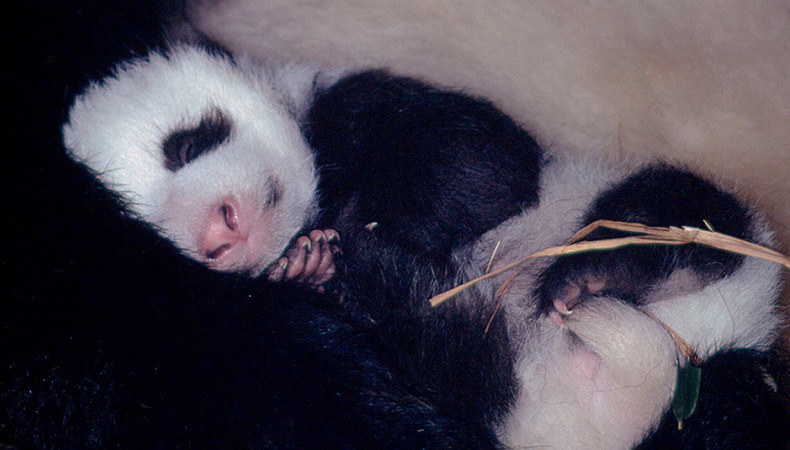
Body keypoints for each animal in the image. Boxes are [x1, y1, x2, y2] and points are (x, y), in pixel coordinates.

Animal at [55, 40, 788, 449]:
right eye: (141, 218)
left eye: (185, 144)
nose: (217, 230)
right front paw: (307, 264)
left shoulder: (351, 100)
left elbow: (482, 166)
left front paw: (352, 226)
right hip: (485, 389)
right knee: (431, 346)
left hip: (681, 228)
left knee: (677, 214)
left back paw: (595, 273)